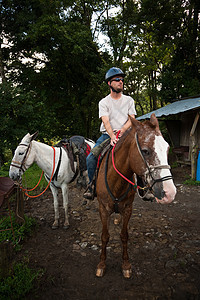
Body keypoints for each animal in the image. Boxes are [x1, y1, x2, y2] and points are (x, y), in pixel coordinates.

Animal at [96, 113, 176, 278]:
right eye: (145, 151)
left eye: (167, 148)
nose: (170, 193)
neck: (116, 182)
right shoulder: (103, 209)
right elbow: (105, 236)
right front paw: (101, 264)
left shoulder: (127, 209)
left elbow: (124, 236)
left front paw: (126, 265)